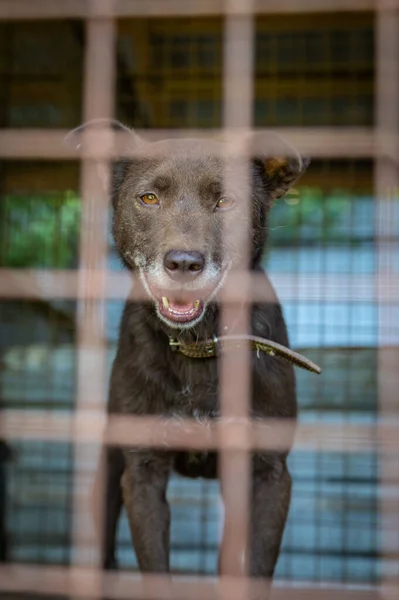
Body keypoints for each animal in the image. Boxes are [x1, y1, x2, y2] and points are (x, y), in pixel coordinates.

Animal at [69, 122, 310, 596]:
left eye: (225, 201)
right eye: (148, 198)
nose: (183, 262)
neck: (199, 346)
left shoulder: (270, 476)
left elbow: (256, 569)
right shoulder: (141, 473)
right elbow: (155, 569)